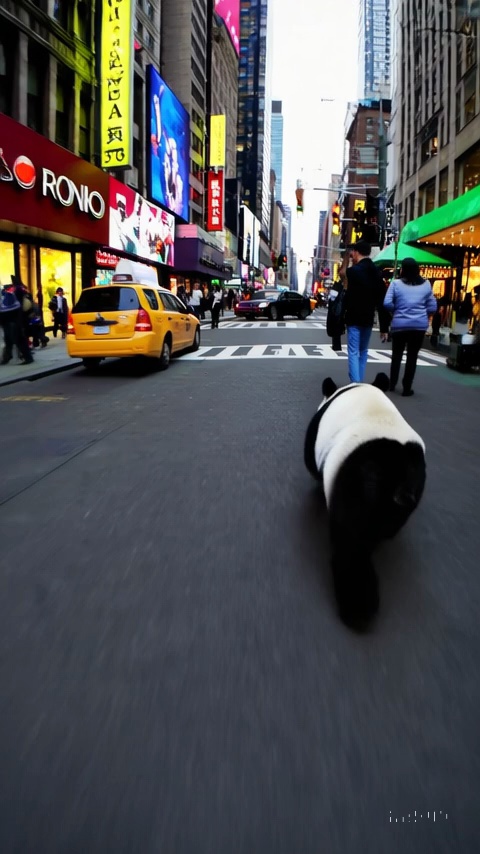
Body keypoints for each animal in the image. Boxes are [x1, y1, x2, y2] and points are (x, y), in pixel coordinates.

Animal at [304, 371, 426, 629]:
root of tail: (398, 476)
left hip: (354, 486)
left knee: (350, 543)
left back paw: (358, 609)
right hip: (413, 488)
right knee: (388, 526)